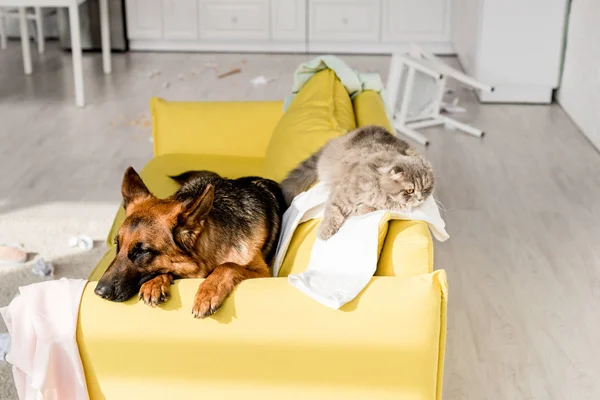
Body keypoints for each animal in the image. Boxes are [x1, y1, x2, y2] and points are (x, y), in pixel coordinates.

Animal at [95, 168, 286, 318]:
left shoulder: (262, 273)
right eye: (117, 244)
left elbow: (228, 265)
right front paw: (155, 283)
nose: (99, 292)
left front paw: (208, 292)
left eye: (142, 251)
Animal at [282, 125, 436, 239]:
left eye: (425, 189)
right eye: (410, 190)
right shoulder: (341, 195)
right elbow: (332, 213)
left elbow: (366, 209)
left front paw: (359, 209)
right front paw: (325, 232)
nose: (420, 199)